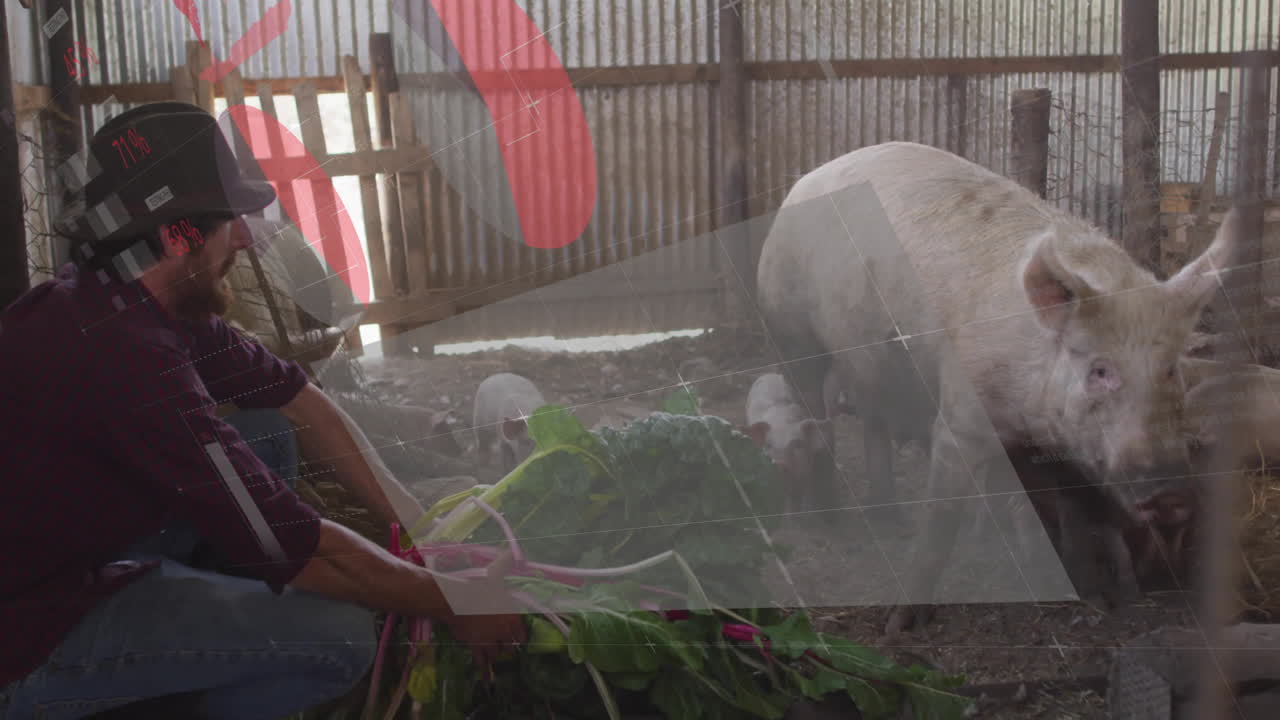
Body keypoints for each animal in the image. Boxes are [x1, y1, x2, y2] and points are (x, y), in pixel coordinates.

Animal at [744, 373, 833, 519]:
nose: (779, 463)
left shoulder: (805, 470)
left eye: (797, 444)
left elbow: (800, 496)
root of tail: (770, 373)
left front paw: (800, 516)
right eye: (768, 445)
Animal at [755, 141, 1237, 636]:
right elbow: (941, 518)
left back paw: (888, 518)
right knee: (817, 419)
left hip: (872, 362)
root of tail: (803, 182)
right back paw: (829, 521)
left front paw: (1091, 597)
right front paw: (899, 625)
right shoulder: (960, 416)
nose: (1174, 494)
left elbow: (1076, 509)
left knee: (874, 422)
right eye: (1100, 370)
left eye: (1170, 369)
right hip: (789, 332)